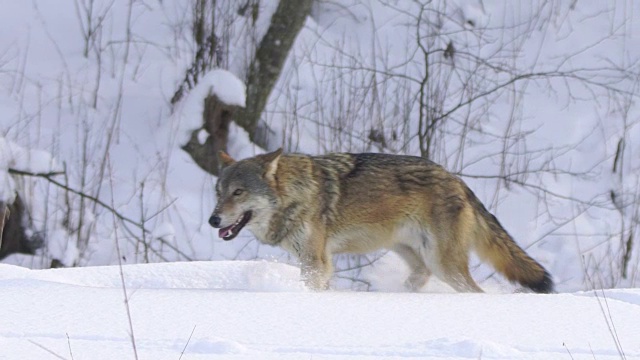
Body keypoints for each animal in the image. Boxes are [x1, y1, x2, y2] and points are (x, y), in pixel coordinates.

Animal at [208, 149, 552, 292]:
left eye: (238, 192)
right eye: (218, 191)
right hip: (414, 256)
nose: (213, 219)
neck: (295, 193)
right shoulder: (315, 262)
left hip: (446, 266)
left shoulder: (316, 262)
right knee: (419, 278)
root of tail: (457, 180)